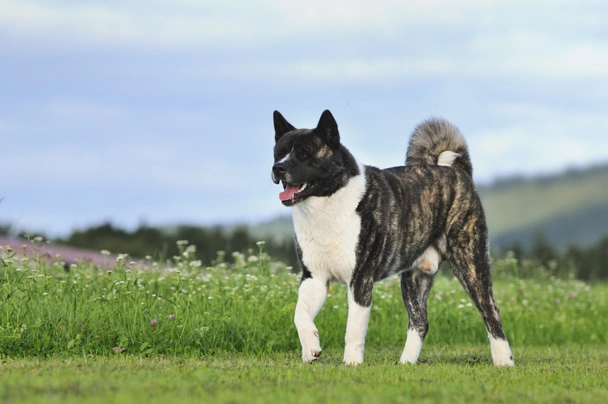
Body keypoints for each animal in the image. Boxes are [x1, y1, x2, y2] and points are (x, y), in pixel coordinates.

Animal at [270, 109, 512, 366]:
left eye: (305, 154)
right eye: (279, 153)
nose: (278, 168)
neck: (328, 202)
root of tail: (459, 171)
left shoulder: (360, 280)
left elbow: (353, 328)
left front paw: (351, 363)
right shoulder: (314, 278)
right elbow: (299, 314)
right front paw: (311, 349)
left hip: (470, 263)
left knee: (490, 311)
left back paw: (504, 361)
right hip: (414, 278)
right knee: (420, 322)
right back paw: (405, 363)